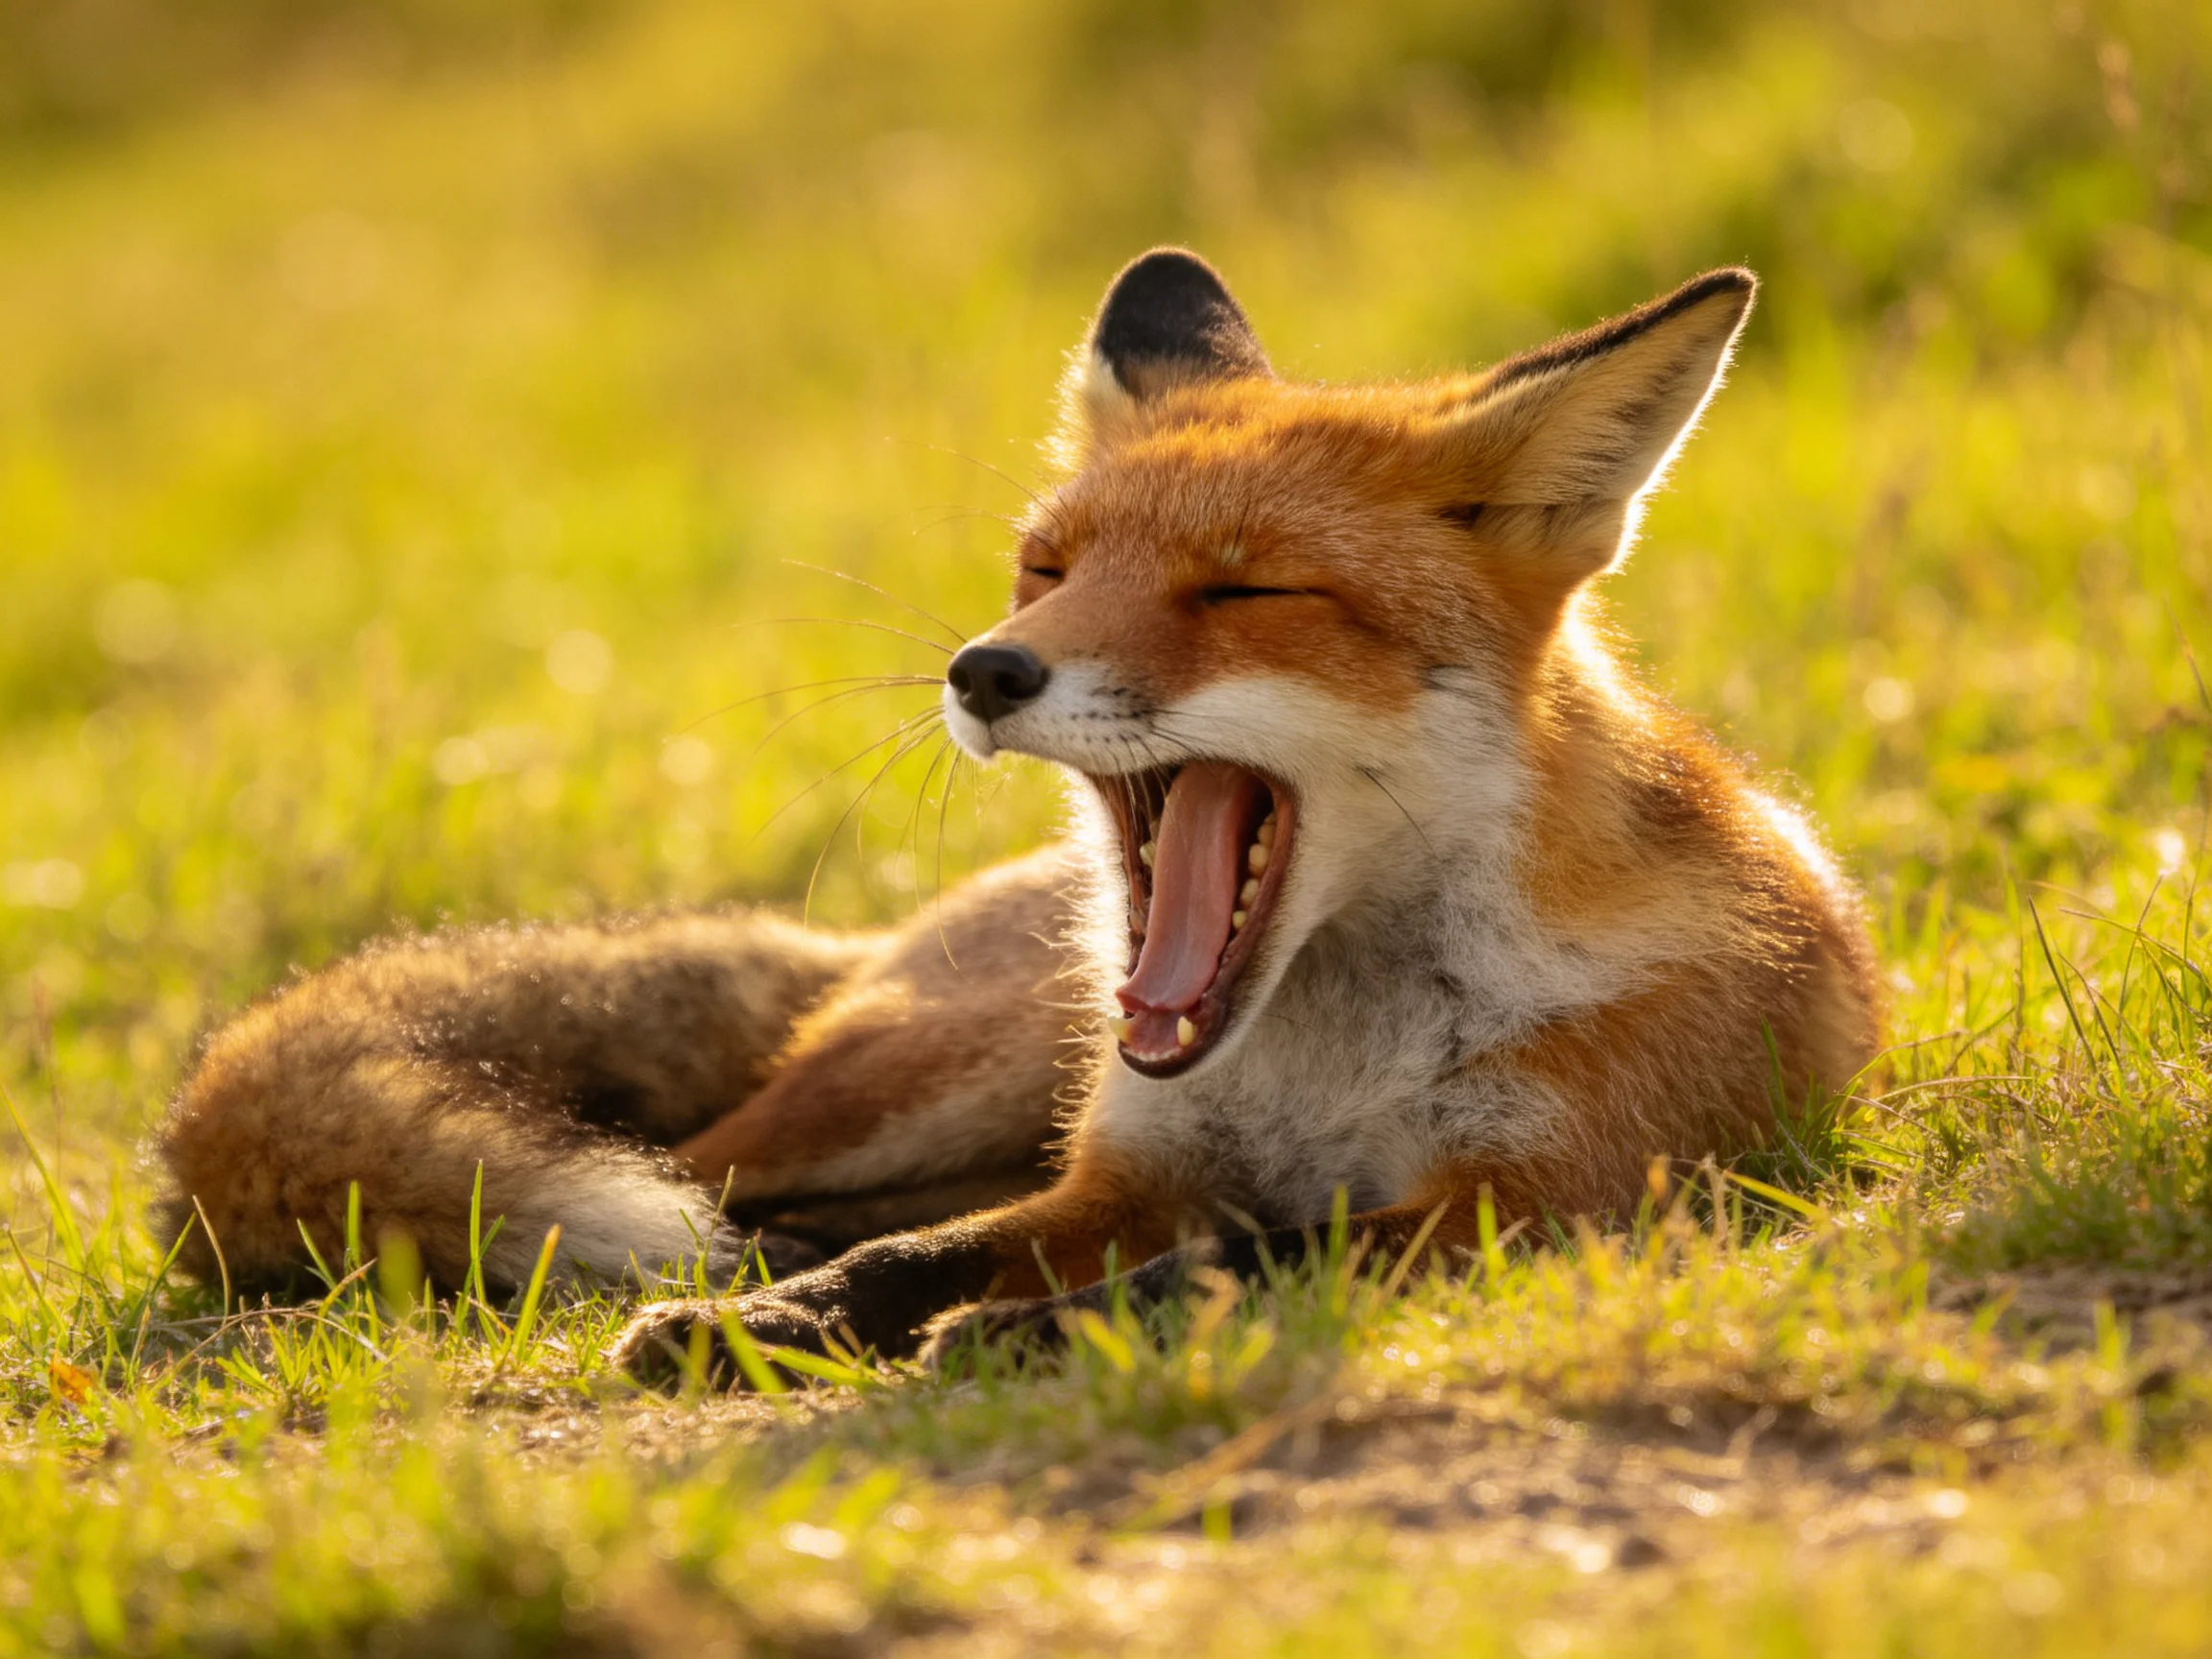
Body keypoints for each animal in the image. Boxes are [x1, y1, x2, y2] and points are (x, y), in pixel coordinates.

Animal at [157, 249, 1881, 1376]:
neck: (1326, 1059)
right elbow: (924, 1257)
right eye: (1047, 567)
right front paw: (786, 1330)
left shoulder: (1545, 1200)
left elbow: (1240, 1263)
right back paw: (747, 1271)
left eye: (1244, 591)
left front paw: (1020, 1334)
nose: (985, 669)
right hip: (921, 1085)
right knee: (722, 1180)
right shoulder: (1126, 1169)